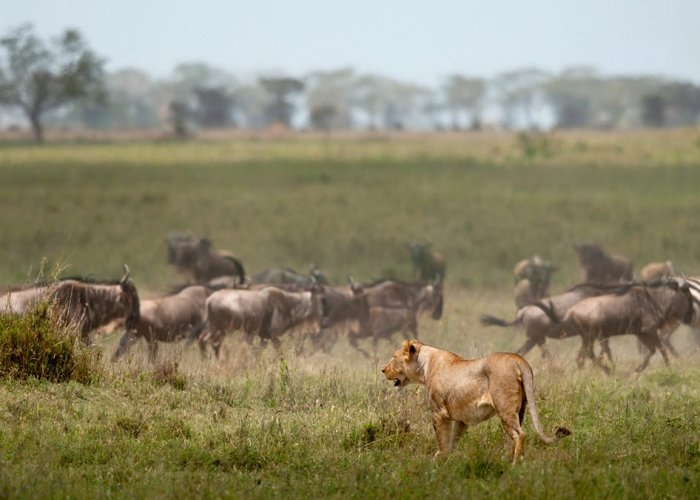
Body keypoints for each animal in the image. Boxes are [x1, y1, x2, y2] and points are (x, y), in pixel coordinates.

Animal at [380, 338, 572, 462]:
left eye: (394, 357)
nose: (383, 370)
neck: (424, 366)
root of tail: (519, 359)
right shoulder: (461, 420)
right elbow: (452, 440)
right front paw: (447, 460)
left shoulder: (438, 413)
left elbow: (442, 439)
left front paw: (439, 461)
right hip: (520, 411)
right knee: (513, 436)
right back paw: (509, 459)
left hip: (505, 409)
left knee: (520, 434)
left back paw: (515, 463)